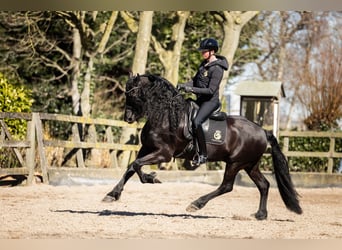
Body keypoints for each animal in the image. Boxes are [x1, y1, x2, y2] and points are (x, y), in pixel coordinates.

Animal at [102, 73, 302, 220]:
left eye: (133, 94)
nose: (127, 118)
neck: (166, 116)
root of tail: (262, 131)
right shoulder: (147, 149)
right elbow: (131, 167)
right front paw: (112, 194)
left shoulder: (163, 154)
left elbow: (136, 165)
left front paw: (151, 178)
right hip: (250, 165)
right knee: (264, 185)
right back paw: (260, 214)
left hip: (235, 163)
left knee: (226, 186)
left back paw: (196, 204)